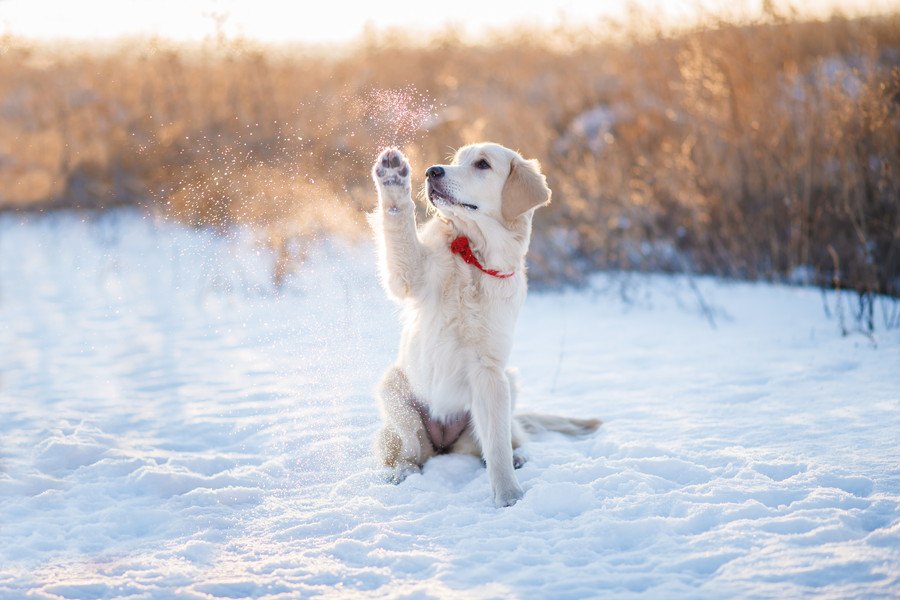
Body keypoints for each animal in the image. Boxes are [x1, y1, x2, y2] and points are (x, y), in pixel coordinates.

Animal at [370, 142, 600, 506]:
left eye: (482, 164)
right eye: (454, 161)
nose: (431, 171)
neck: (474, 255)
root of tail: (444, 441)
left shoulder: (489, 370)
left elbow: (496, 445)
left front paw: (508, 496)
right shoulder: (411, 275)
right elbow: (399, 230)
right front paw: (393, 178)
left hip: (509, 382)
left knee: (497, 441)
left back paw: (517, 456)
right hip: (394, 390)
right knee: (411, 450)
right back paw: (403, 472)